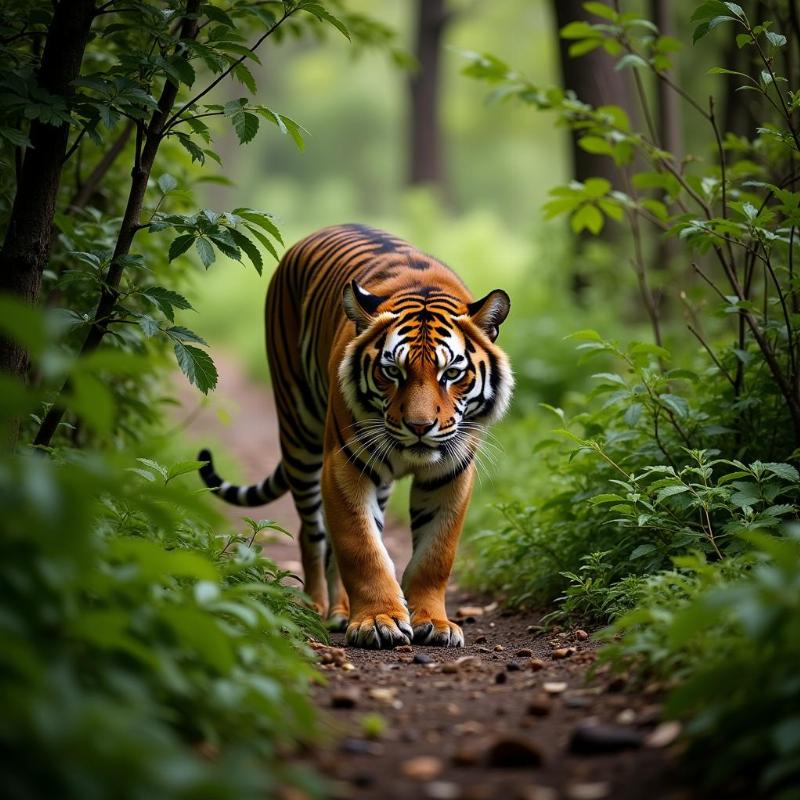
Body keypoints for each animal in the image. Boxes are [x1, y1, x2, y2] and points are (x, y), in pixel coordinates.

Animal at [199, 225, 512, 648]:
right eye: (392, 371)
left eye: (451, 374)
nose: (418, 426)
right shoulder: (344, 466)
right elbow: (361, 547)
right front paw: (378, 620)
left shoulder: (451, 473)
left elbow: (435, 555)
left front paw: (435, 622)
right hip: (300, 435)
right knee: (313, 534)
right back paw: (318, 609)